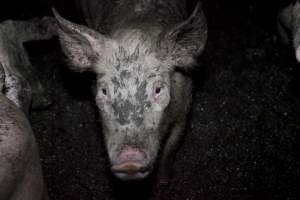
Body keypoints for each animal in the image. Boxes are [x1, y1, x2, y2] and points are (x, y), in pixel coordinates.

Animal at [54, 0, 207, 181]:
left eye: (158, 89)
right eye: (104, 91)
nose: (130, 161)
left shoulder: (184, 113)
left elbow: (170, 150)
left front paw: (164, 181)